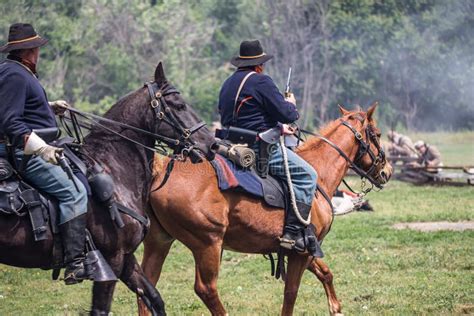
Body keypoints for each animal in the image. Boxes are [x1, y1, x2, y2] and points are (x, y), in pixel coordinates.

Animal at [0, 63, 215, 314]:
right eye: (179, 105)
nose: (211, 145)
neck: (113, 168)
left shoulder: (126, 258)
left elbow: (154, 298)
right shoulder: (111, 260)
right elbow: (101, 308)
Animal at [140, 102, 392, 314]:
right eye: (378, 134)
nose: (387, 171)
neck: (319, 175)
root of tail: (162, 171)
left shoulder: (305, 249)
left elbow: (325, 273)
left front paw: (336, 308)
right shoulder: (302, 251)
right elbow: (291, 293)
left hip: (160, 241)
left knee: (146, 287)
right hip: (208, 244)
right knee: (206, 289)